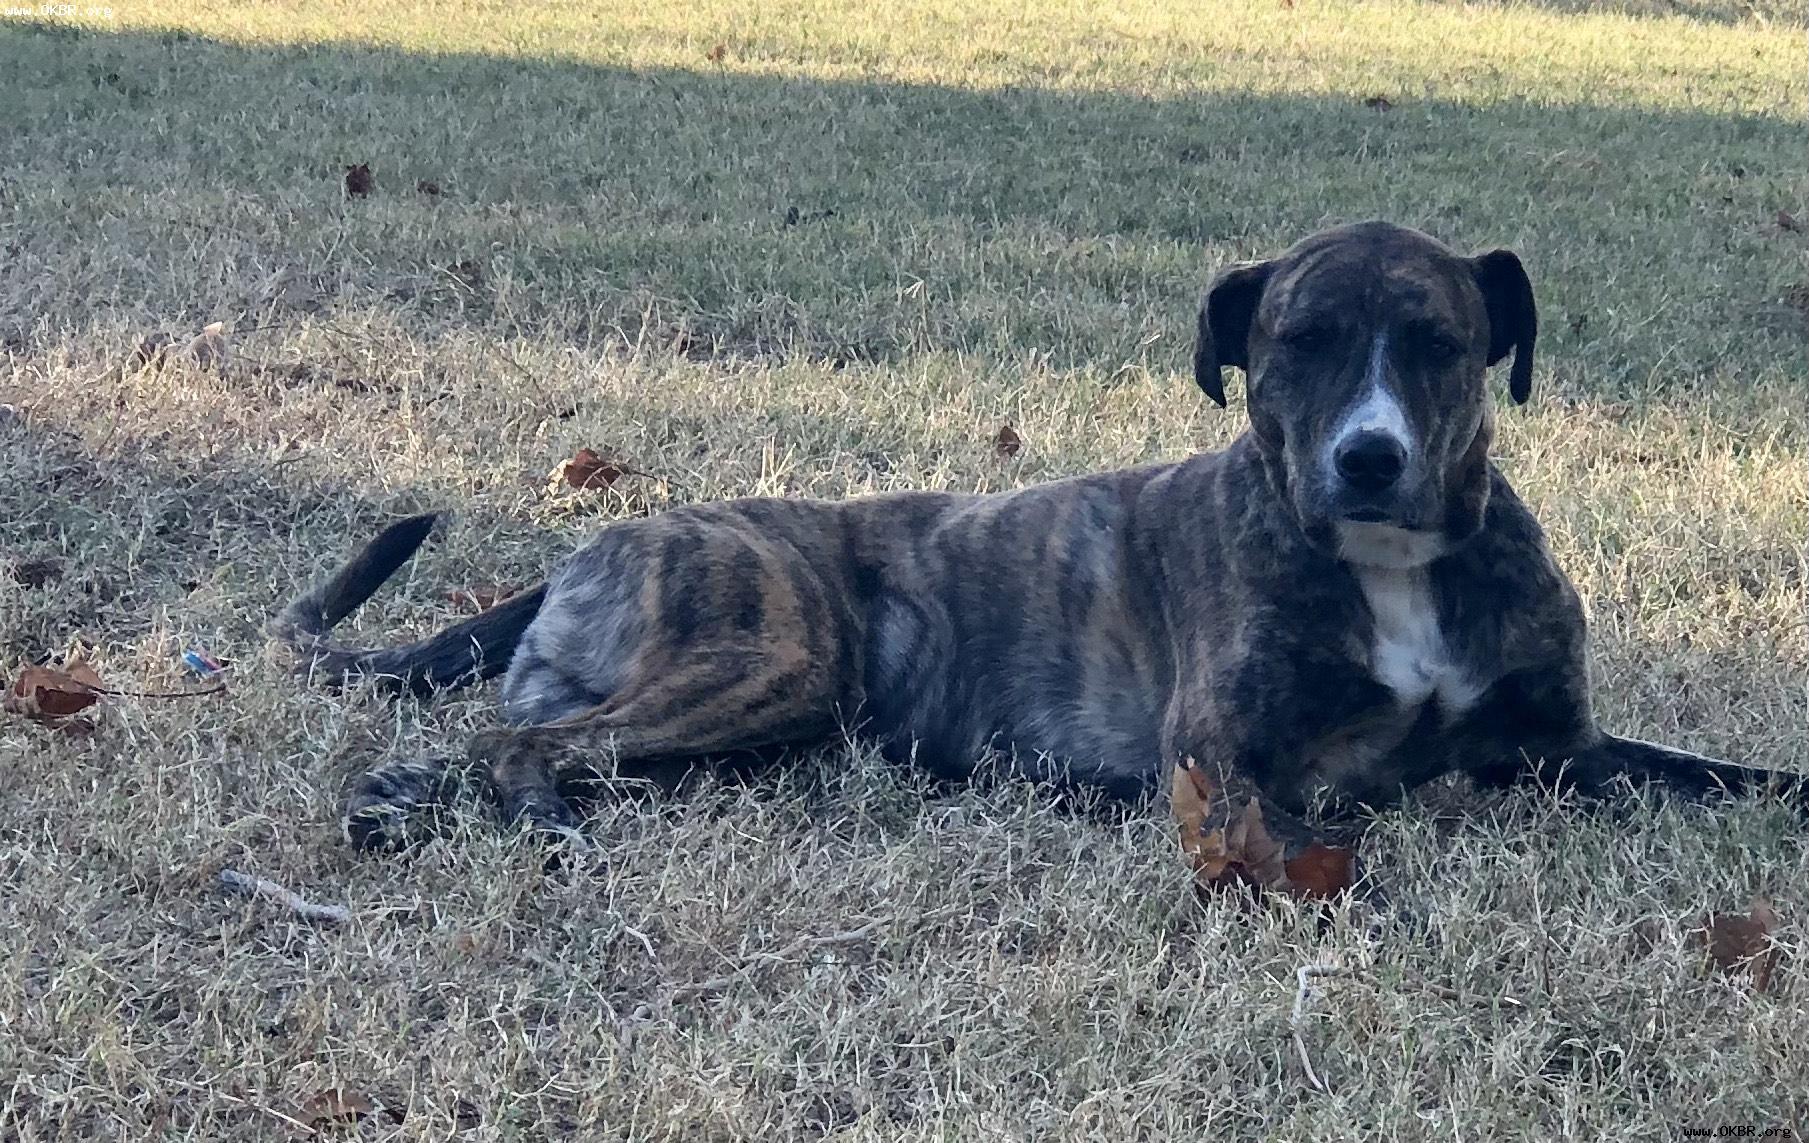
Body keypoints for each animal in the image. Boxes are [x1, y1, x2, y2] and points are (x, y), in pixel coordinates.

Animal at [274, 220, 1801, 857]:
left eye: (1438, 343)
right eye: (1295, 342)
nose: (1366, 457)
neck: (1394, 574)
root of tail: (603, 539)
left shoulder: (1569, 746)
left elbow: (1735, 778)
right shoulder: (1228, 761)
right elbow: (1329, 829)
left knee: (502, 743)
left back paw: (405, 802)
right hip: (769, 658)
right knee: (520, 747)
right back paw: (523, 821)